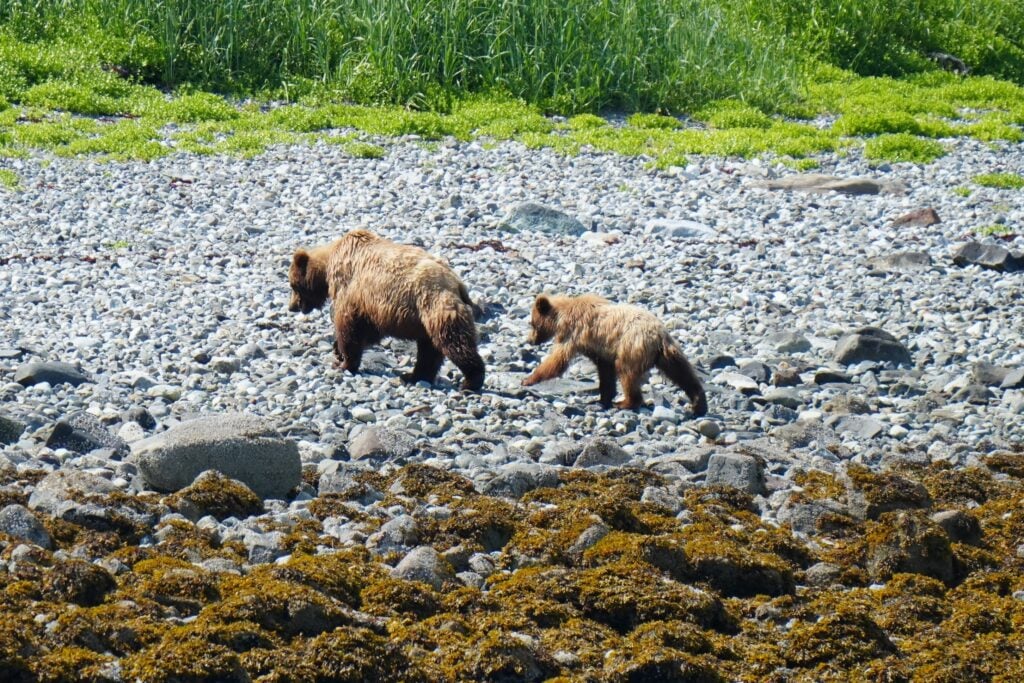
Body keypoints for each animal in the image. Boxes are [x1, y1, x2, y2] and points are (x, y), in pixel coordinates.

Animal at [288, 229, 485, 391]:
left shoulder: (351, 290)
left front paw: (343, 362)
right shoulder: (372, 307)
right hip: (426, 318)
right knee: (429, 349)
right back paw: (413, 376)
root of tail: (457, 283)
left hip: (435, 305)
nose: (292, 307)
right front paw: (338, 350)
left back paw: (470, 380)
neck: (329, 264)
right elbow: (369, 330)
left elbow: (349, 326)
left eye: (293, 285)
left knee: (454, 341)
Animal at [522, 293, 707, 415]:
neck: (561, 317)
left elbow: (557, 361)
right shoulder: (599, 349)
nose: (529, 340)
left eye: (532, 323)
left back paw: (626, 402)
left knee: (626, 373)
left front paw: (528, 379)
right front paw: (603, 398)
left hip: (631, 347)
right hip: (668, 353)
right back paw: (698, 403)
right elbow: (605, 372)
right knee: (682, 373)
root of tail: (659, 335)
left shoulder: (573, 333)